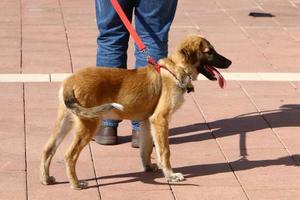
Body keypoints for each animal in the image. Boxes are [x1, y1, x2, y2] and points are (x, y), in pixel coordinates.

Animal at [39, 35, 232, 190]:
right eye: (209, 52)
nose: (230, 62)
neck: (174, 70)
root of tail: (70, 82)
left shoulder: (147, 121)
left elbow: (146, 148)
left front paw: (148, 168)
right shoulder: (160, 119)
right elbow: (165, 151)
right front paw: (170, 175)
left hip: (65, 121)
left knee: (48, 149)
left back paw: (46, 179)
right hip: (89, 124)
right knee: (69, 155)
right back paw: (76, 184)